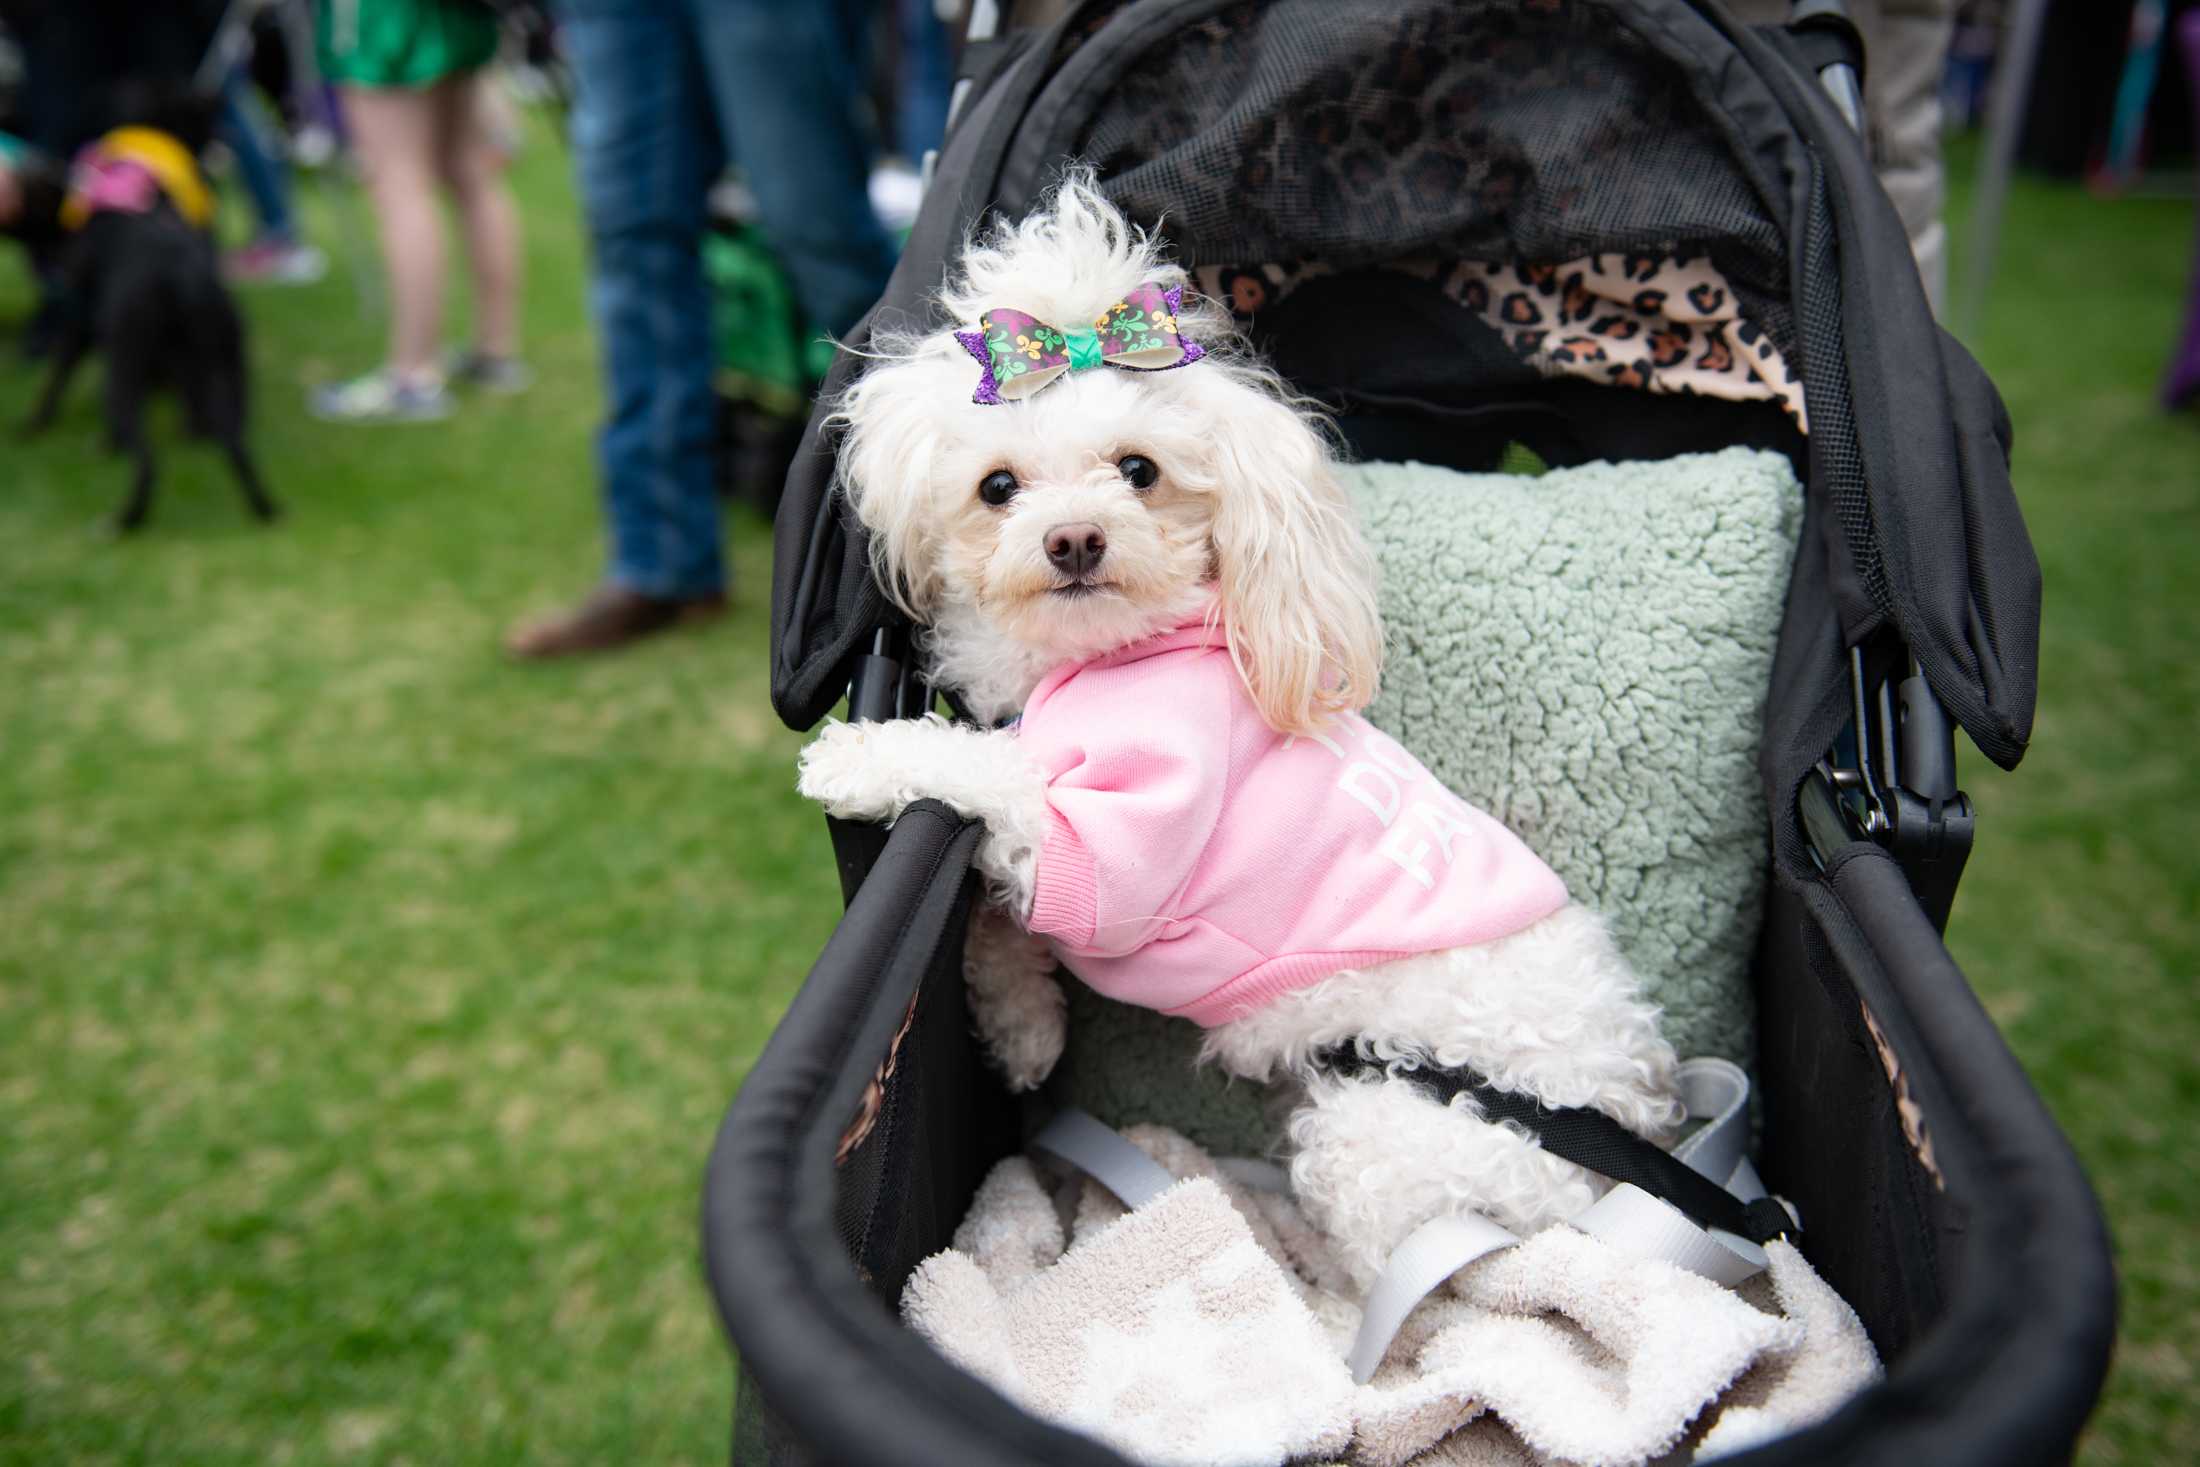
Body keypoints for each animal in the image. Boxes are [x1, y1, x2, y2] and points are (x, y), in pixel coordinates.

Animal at [18, 87, 277, 534]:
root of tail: (181, 276)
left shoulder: (82, 323)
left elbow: (56, 376)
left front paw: (38, 427)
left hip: (126, 364)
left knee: (146, 460)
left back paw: (124, 520)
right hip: (228, 365)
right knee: (236, 443)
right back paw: (261, 507)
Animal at [805, 174, 1680, 1284]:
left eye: (1138, 470)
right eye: (997, 486)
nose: (1074, 539)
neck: (1105, 655)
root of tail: (1622, 1134)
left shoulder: (1113, 849)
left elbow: (996, 777)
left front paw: (860, 755)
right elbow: (993, 906)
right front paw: (1027, 1030)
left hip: (1387, 1135)